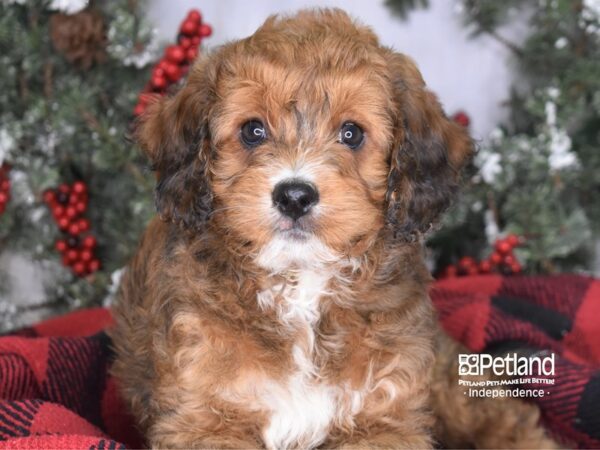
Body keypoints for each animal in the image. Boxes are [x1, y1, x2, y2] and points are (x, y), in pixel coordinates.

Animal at [111, 8, 556, 448]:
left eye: (351, 133)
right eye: (253, 130)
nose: (294, 196)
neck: (300, 286)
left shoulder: (385, 416)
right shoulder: (204, 417)